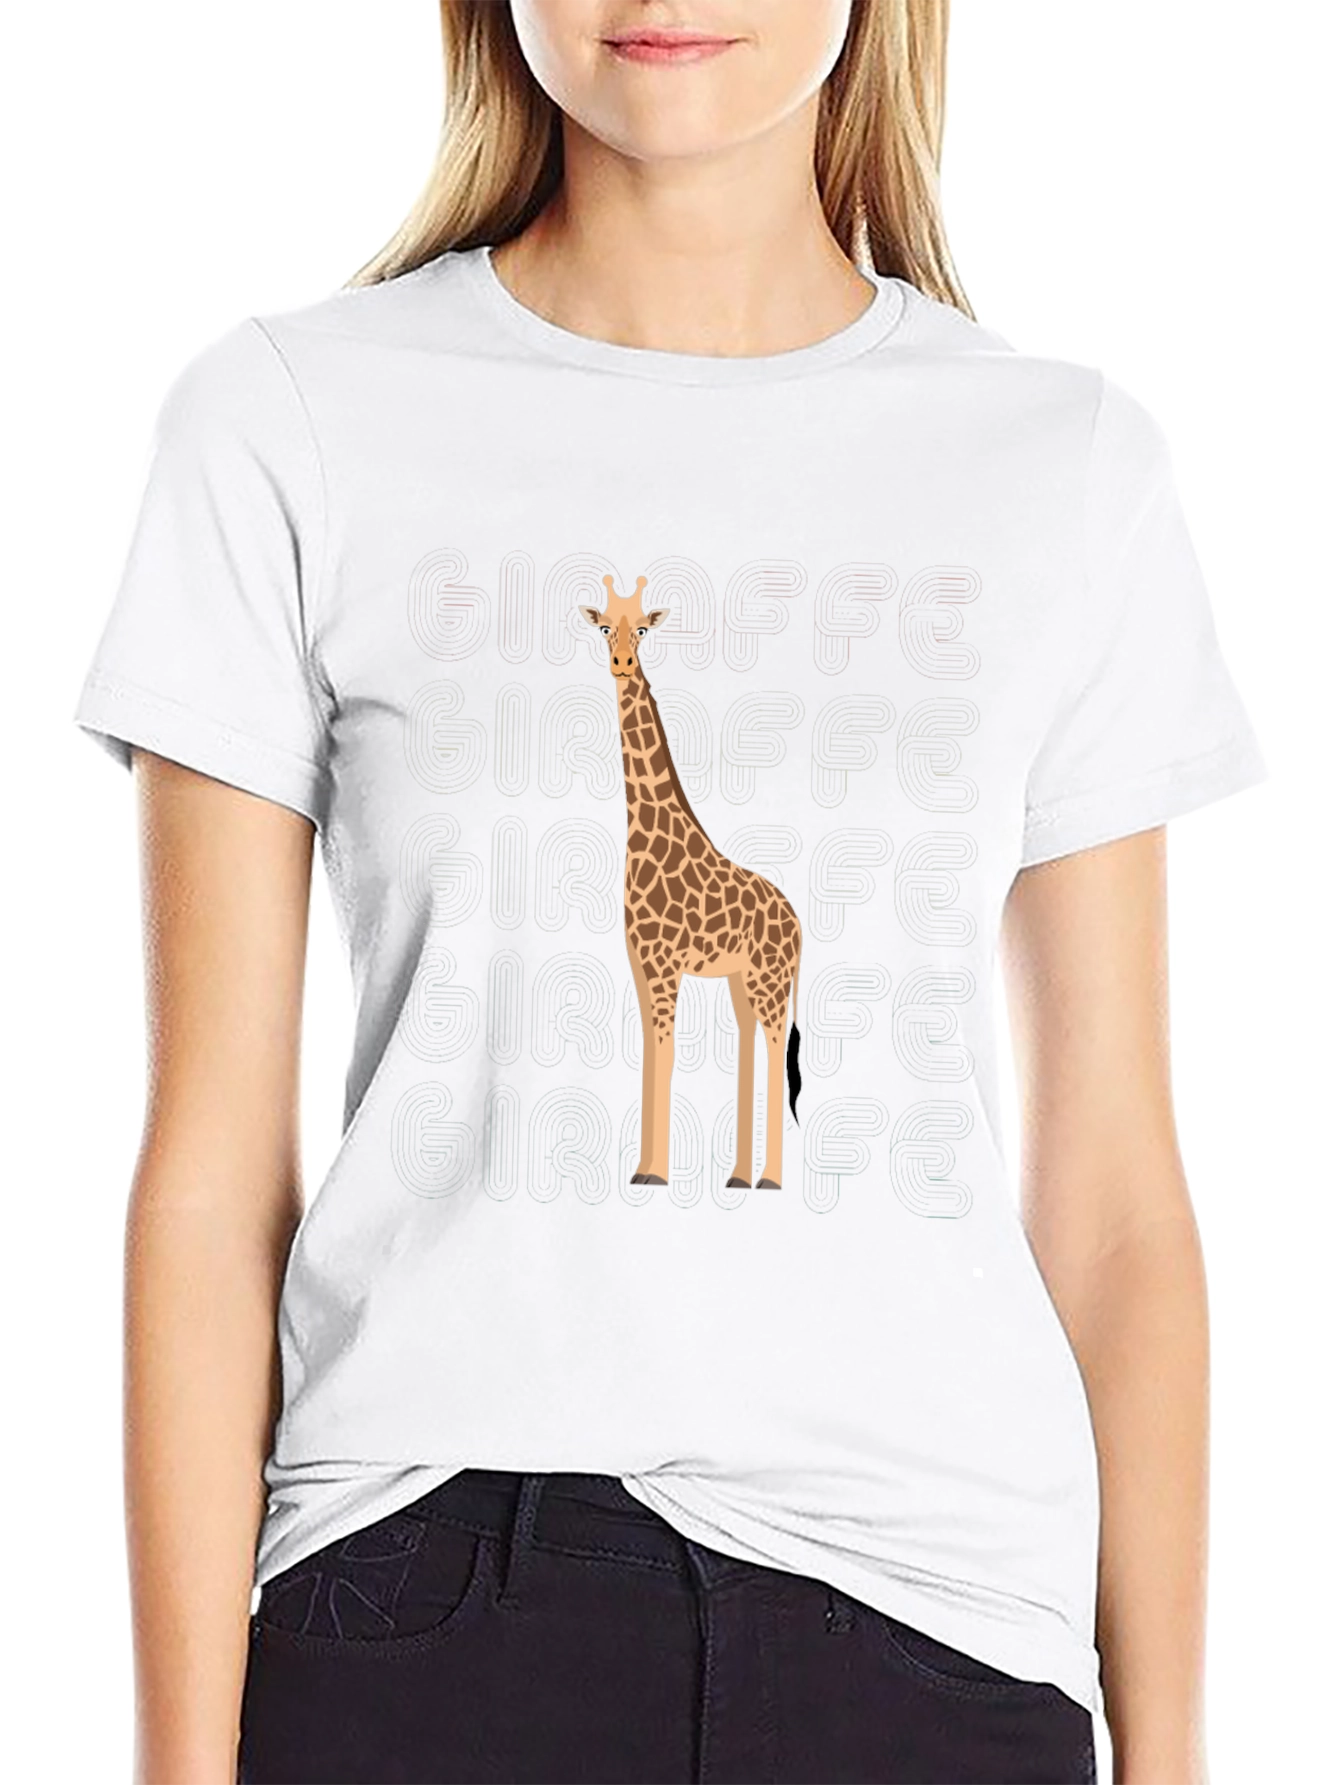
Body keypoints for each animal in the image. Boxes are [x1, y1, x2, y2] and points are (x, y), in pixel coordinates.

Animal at [580, 574, 803, 1192]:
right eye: (603, 627)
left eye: (643, 629)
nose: (622, 663)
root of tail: (800, 925)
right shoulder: (640, 962)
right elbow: (652, 1051)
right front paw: (643, 1169)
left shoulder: (664, 964)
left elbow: (668, 1049)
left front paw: (656, 1173)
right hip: (743, 981)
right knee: (750, 1042)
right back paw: (738, 1176)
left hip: (771, 982)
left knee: (775, 1048)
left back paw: (770, 1179)